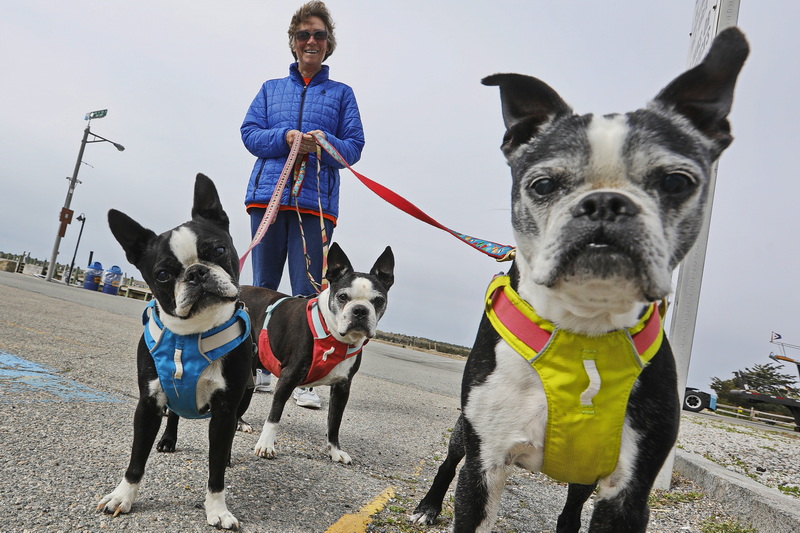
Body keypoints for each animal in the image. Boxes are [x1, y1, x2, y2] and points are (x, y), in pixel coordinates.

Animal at [99, 174, 252, 528]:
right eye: (163, 274)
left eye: (219, 250)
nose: (196, 272)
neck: (192, 335)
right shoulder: (148, 403)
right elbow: (136, 457)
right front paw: (122, 496)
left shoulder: (225, 410)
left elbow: (215, 470)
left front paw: (217, 509)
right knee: (175, 416)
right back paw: (168, 440)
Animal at [244, 243, 394, 464]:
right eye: (342, 297)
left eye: (378, 300)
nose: (360, 310)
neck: (333, 335)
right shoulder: (288, 378)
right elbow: (274, 415)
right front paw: (265, 445)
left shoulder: (342, 388)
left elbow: (334, 422)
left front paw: (335, 451)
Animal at [412, 29, 752, 532]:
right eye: (543, 185)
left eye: (677, 182)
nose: (605, 203)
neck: (585, 324)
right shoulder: (484, 463)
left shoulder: (628, 491)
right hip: (464, 434)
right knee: (448, 462)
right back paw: (429, 505)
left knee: (571, 507)